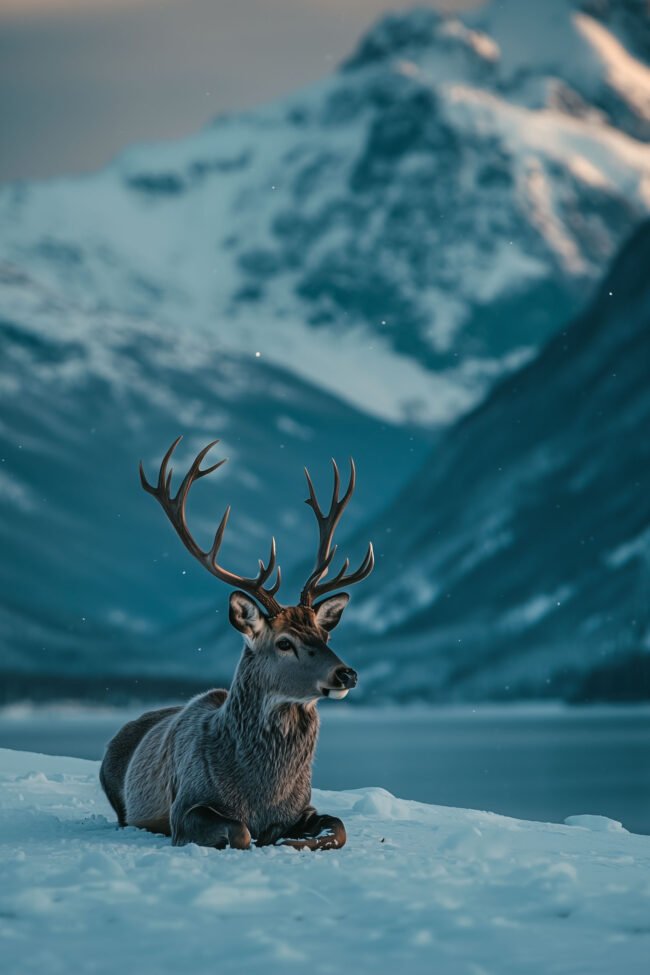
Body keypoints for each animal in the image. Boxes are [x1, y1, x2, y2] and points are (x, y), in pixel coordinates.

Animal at [100, 436, 374, 851]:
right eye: (284, 642)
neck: (261, 793)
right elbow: (242, 833)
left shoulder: (304, 806)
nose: (347, 674)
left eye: (325, 635)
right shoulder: (186, 806)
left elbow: (336, 828)